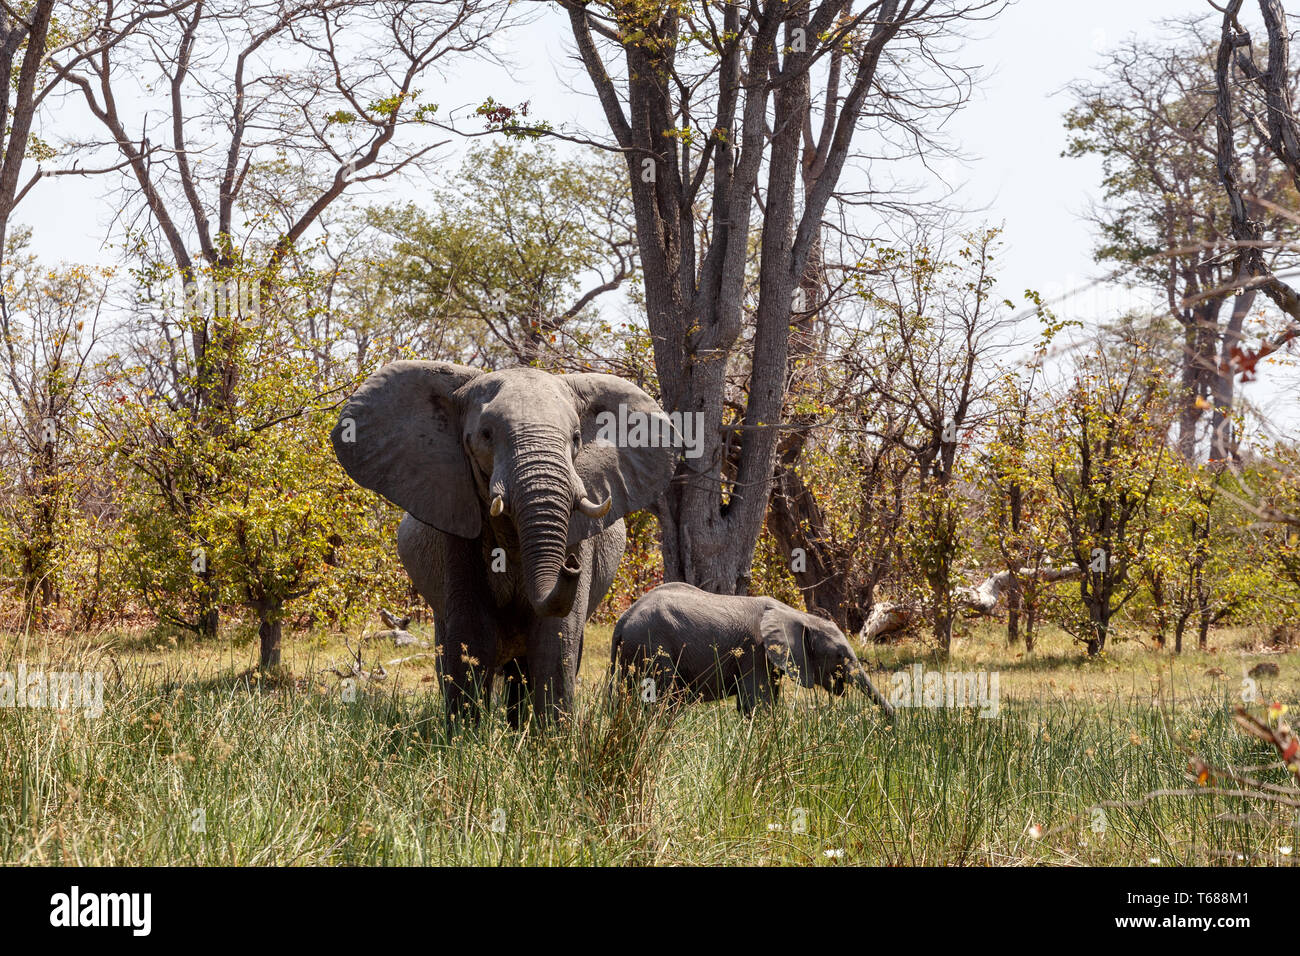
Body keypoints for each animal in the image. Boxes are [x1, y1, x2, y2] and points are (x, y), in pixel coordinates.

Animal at [331, 361, 677, 725]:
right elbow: (472, 634)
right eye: (486, 435)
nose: (571, 566)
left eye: (576, 438)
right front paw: (466, 736)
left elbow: (557, 639)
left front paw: (551, 739)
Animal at [610, 583, 894, 718]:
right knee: (662, 701)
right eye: (839, 655)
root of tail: (622, 620)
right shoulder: (755, 653)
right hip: (653, 647)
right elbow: (759, 705)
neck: (797, 615)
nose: (894, 721)